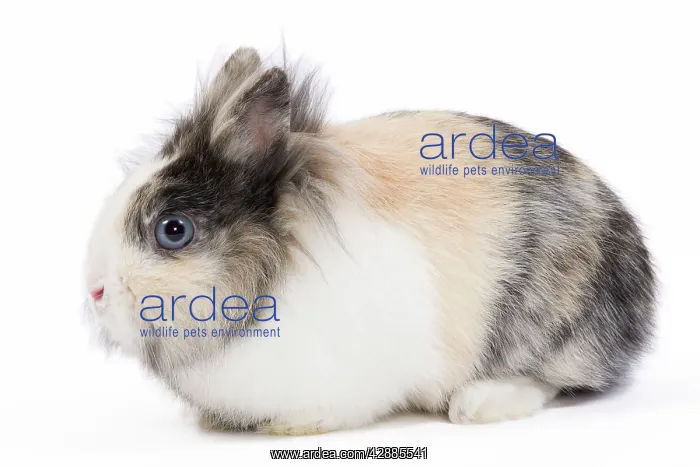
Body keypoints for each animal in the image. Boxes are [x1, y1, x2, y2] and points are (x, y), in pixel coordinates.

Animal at [84, 47, 657, 435]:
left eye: (173, 230)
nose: (94, 292)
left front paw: (289, 428)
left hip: (548, 324)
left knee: (554, 377)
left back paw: (478, 404)